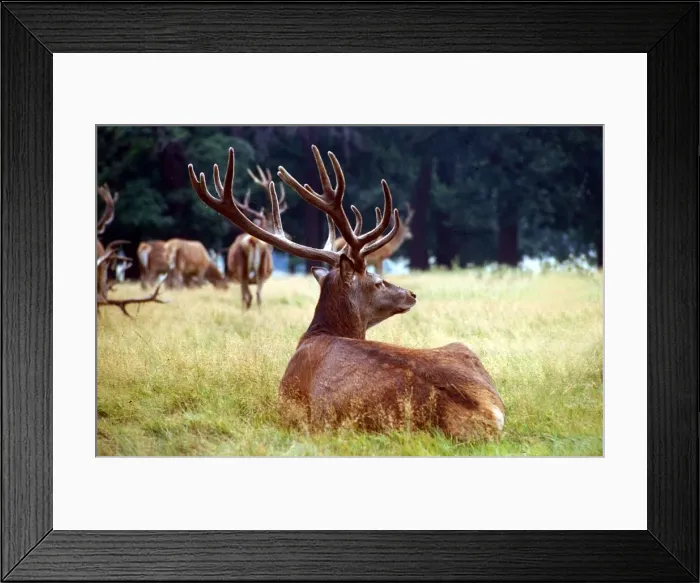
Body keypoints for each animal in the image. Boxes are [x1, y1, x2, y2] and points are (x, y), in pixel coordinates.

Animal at [189, 146, 505, 441]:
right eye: (377, 282)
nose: (411, 294)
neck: (316, 334)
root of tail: (488, 411)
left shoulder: (287, 405)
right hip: (460, 349)